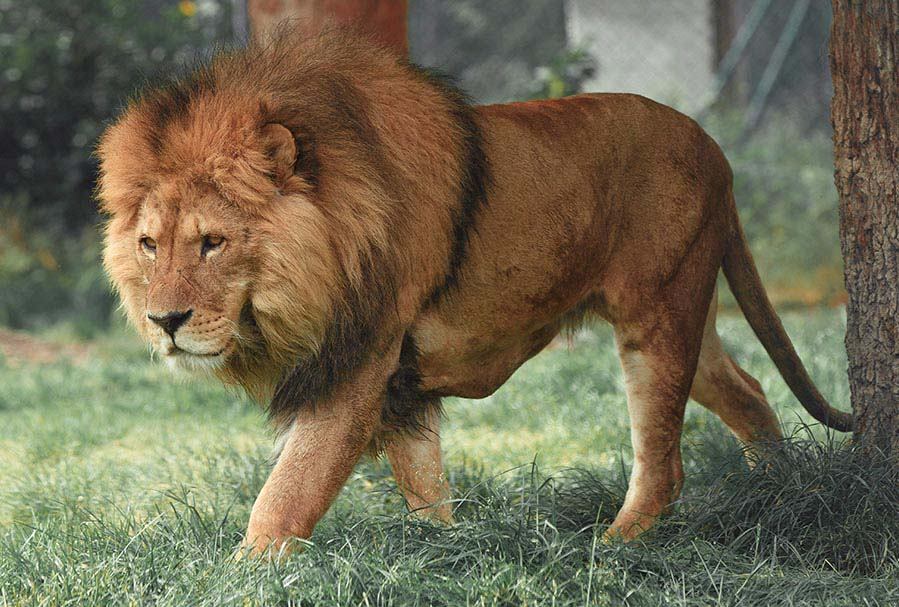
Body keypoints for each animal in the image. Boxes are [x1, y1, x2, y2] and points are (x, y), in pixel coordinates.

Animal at [96, 25, 852, 555]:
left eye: (212, 242)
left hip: (657, 313)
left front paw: (242, 574)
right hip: (685, 306)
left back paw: (610, 548)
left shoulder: (359, 362)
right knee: (746, 389)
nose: (165, 321)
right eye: (149, 244)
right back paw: (777, 488)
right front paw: (448, 551)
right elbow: (423, 483)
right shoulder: (397, 382)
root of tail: (714, 147)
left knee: (663, 463)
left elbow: (288, 492)